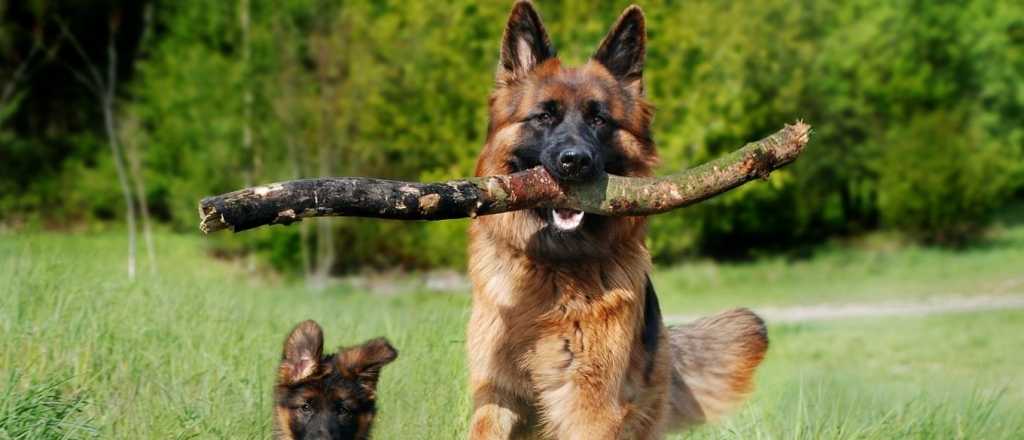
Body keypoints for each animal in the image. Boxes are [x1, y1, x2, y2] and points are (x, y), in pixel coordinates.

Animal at [468, 1, 765, 437]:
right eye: (544, 117)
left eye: (599, 120)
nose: (574, 162)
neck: (554, 271)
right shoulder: (496, 393)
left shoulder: (589, 405)